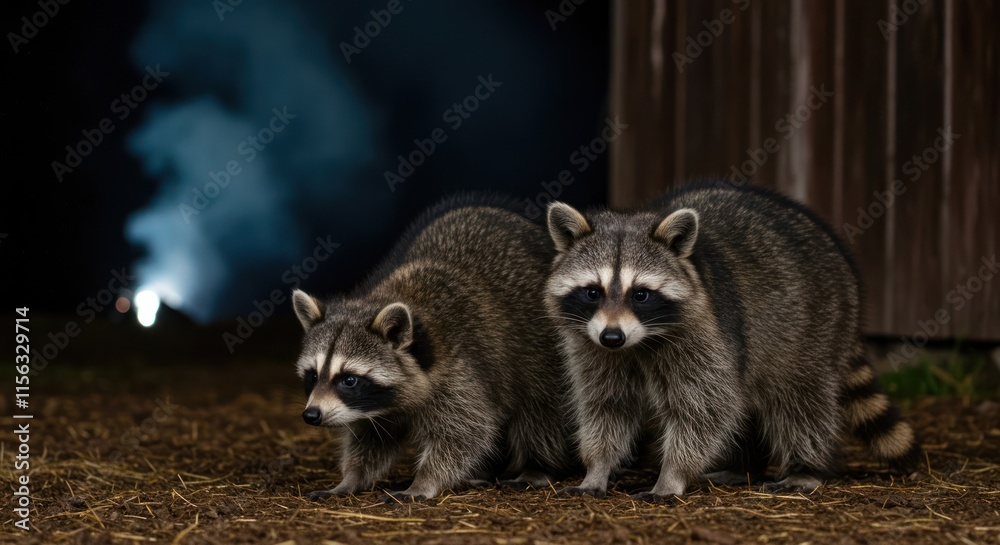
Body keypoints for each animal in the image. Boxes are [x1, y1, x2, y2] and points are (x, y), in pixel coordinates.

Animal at [292, 195, 575, 502]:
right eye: (313, 375)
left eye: (349, 380)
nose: (312, 415)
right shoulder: (372, 407)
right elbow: (370, 439)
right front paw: (350, 478)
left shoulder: (459, 369)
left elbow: (464, 432)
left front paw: (424, 481)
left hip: (539, 351)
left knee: (541, 409)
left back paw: (539, 465)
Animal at [545, 182, 921, 500]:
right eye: (593, 292)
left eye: (641, 295)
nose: (612, 337)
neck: (639, 342)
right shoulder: (593, 346)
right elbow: (606, 405)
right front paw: (597, 467)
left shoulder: (706, 334)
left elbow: (704, 409)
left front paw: (672, 475)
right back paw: (744, 466)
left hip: (814, 324)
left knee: (801, 399)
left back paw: (806, 465)